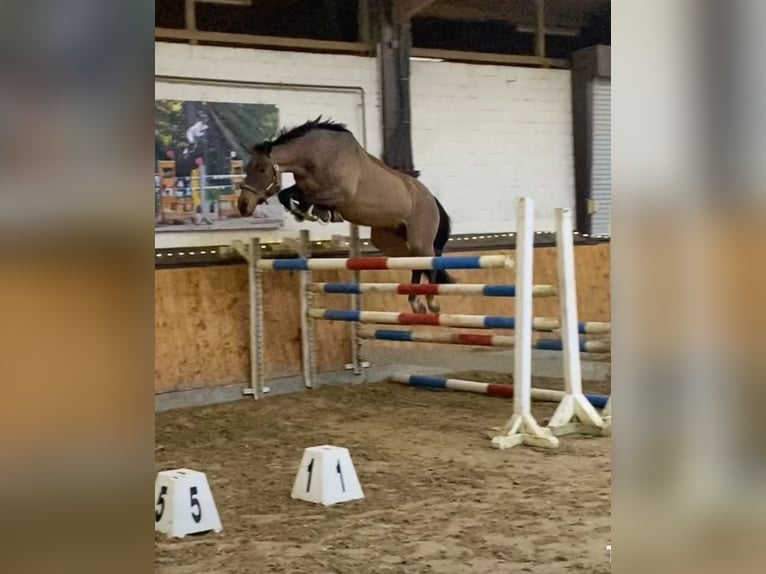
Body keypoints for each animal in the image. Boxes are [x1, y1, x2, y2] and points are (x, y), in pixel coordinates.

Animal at [238, 118, 456, 316]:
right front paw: (307, 211)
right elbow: (288, 194)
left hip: (419, 239)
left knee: (428, 261)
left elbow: (303, 197)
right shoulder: (307, 187)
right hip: (390, 242)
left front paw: (307, 212)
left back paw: (431, 301)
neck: (318, 156)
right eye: (246, 168)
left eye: (262, 169)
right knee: (416, 262)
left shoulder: (341, 194)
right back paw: (415, 302)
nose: (243, 205)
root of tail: (431, 199)